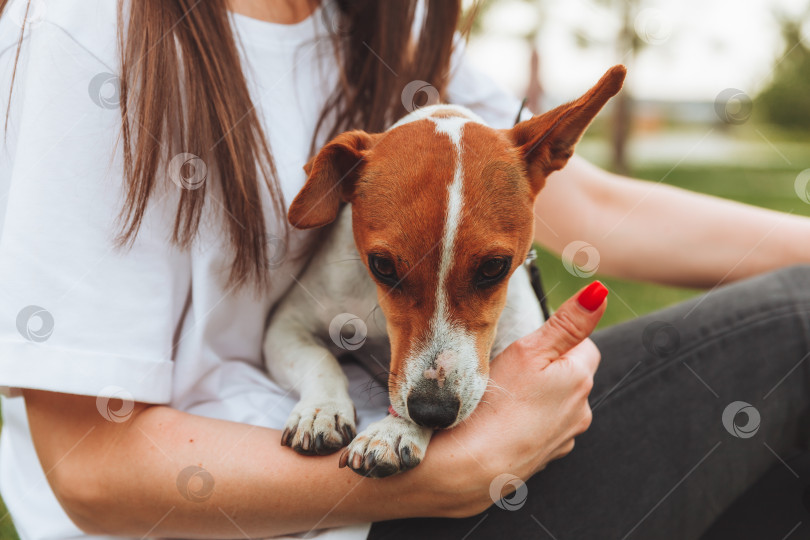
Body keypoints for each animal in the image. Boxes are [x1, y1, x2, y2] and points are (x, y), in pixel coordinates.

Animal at [266, 64, 624, 476]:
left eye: (494, 267)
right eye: (382, 266)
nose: (431, 411)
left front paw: (393, 430)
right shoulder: (285, 326)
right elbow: (320, 359)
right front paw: (321, 410)